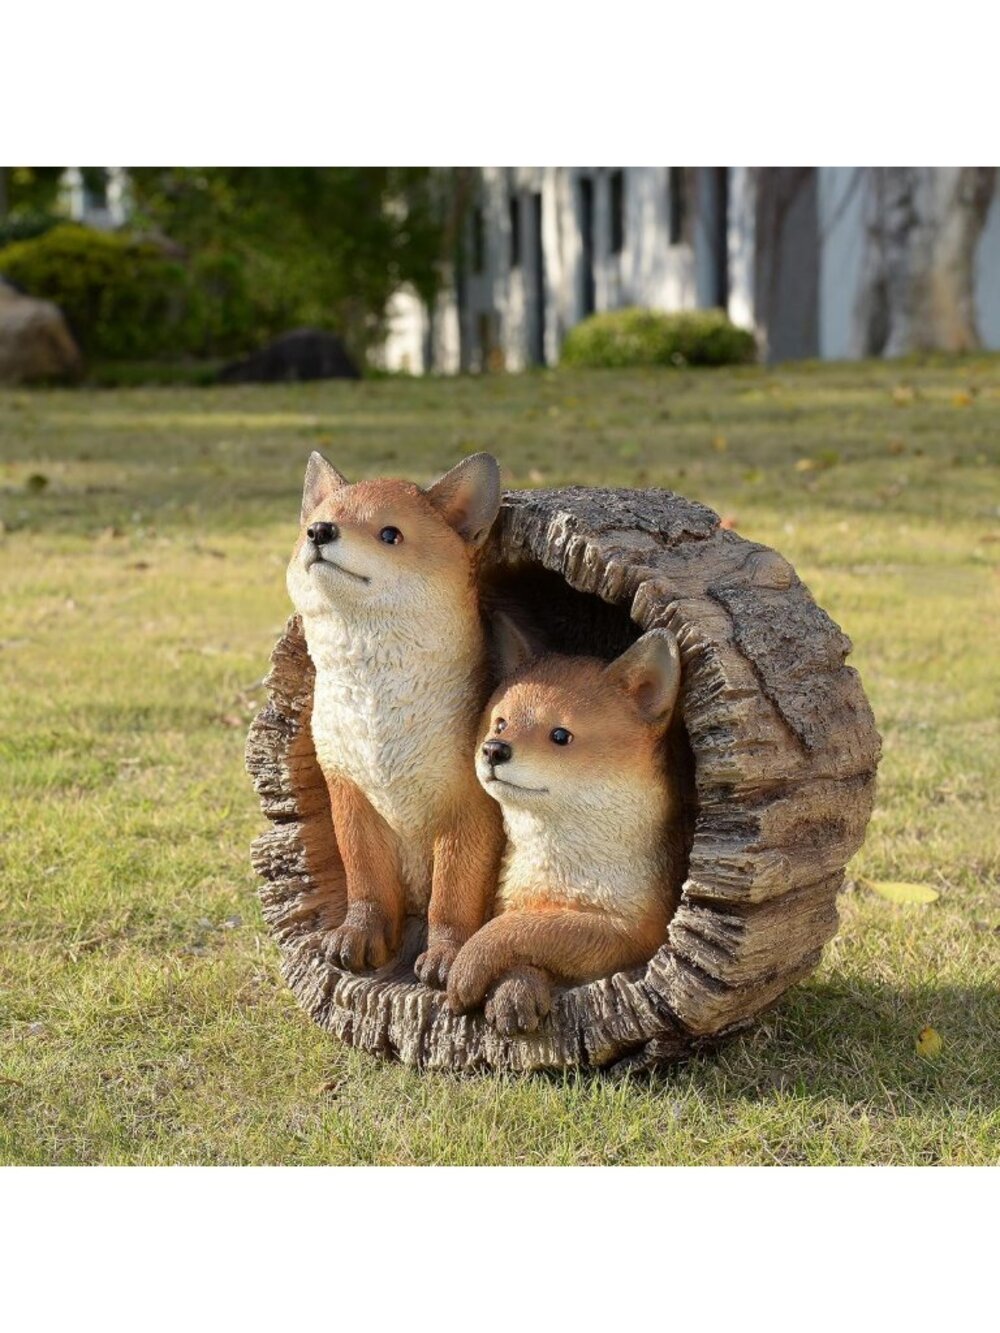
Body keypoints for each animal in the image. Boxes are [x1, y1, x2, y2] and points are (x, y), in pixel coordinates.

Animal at [286, 450, 506, 987]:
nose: (319, 531)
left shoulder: (469, 809)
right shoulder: (350, 792)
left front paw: (446, 955)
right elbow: (367, 882)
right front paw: (358, 936)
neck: (378, 720)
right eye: (322, 519)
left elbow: (453, 897)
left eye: (390, 534)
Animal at [446, 623, 685, 1036]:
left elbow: (525, 930)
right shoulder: (517, 900)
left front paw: (468, 968)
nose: (494, 750)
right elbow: (523, 930)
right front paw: (516, 990)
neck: (559, 877)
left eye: (560, 736)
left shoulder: (638, 931)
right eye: (501, 722)